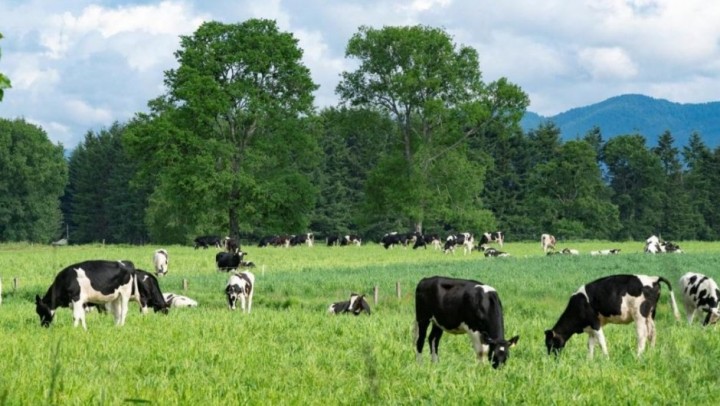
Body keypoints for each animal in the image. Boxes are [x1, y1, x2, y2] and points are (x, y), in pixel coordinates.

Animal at [544, 274, 680, 356]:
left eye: (549, 343)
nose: (551, 358)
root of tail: (653, 278)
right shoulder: (591, 327)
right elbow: (590, 344)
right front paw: (589, 360)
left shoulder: (595, 323)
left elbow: (601, 341)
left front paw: (606, 358)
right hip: (651, 315)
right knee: (653, 333)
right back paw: (651, 353)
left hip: (639, 314)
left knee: (642, 335)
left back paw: (638, 356)